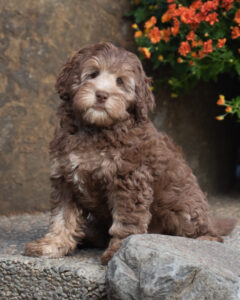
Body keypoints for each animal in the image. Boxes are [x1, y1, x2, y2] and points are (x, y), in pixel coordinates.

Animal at [24, 42, 236, 264]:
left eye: (120, 81)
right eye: (93, 74)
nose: (101, 95)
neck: (95, 130)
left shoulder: (128, 179)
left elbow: (126, 221)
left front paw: (118, 251)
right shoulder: (65, 178)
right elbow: (62, 217)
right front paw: (52, 245)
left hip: (182, 207)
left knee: (203, 230)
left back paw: (205, 239)